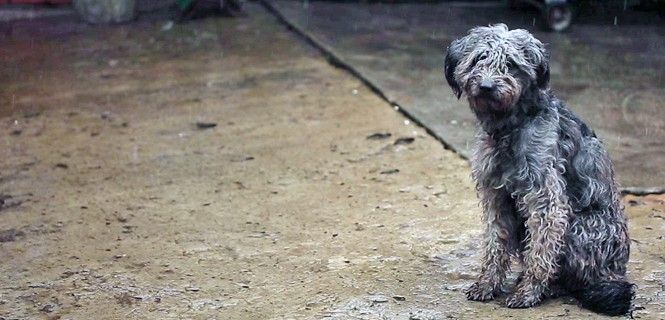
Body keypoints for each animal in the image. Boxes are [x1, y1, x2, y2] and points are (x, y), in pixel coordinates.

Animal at [444, 24, 632, 316]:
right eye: (478, 59)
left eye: (511, 64)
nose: (486, 86)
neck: (510, 127)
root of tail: (615, 273)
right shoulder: (496, 196)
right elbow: (495, 244)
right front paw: (488, 284)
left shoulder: (547, 201)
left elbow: (541, 252)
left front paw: (528, 293)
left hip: (579, 228)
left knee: (573, 278)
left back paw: (548, 287)